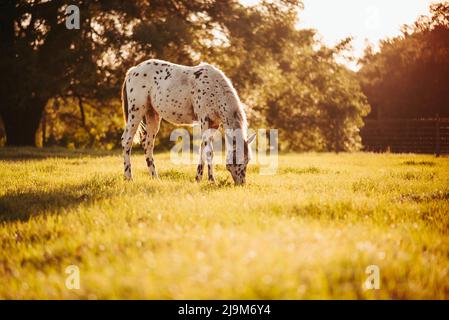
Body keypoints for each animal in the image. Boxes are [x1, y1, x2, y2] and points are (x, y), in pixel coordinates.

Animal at [121, 58, 256, 185]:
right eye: (237, 160)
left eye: (247, 160)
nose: (241, 183)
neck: (214, 88)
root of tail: (133, 70)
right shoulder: (204, 120)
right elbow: (209, 151)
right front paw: (210, 180)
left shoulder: (213, 125)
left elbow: (204, 150)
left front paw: (201, 179)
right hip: (136, 111)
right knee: (127, 140)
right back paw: (128, 177)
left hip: (152, 115)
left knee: (148, 144)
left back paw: (155, 177)